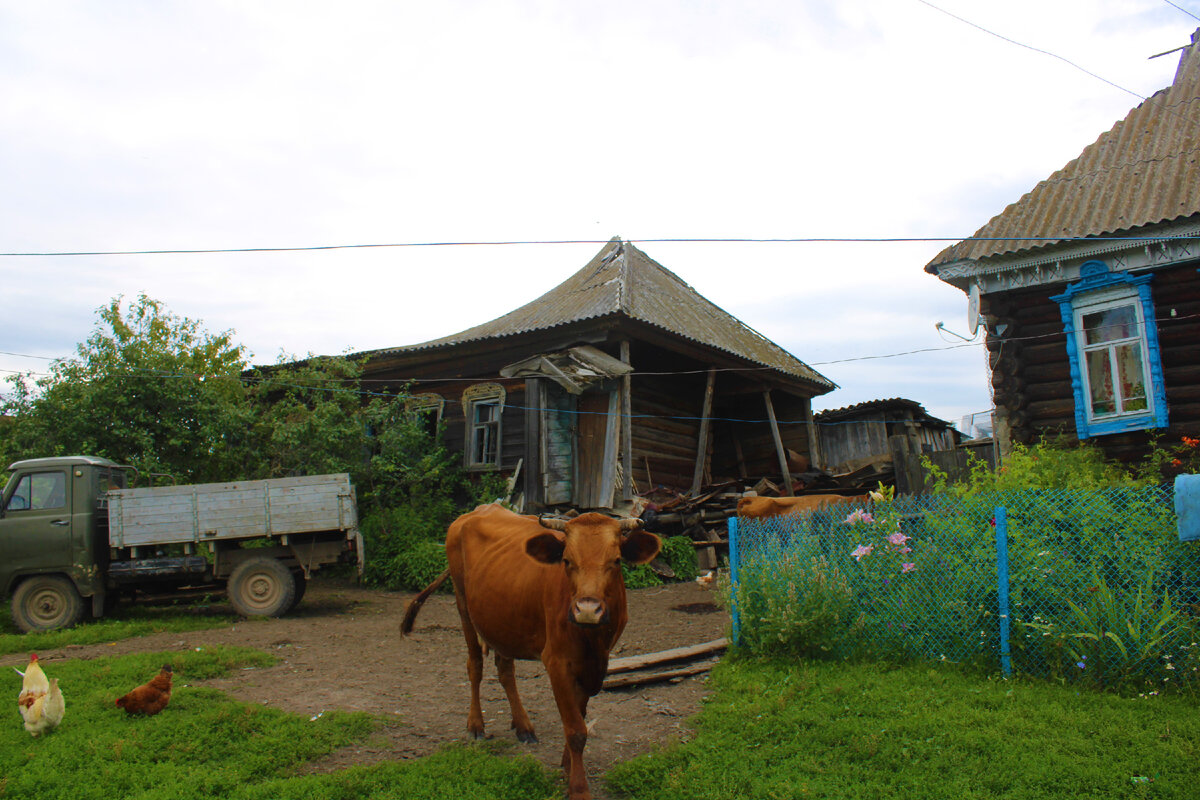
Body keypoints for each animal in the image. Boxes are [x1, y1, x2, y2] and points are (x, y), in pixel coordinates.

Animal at [405, 503, 667, 796]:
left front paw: (567, 765)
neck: (592, 639)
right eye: (567, 561)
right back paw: (476, 724)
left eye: (617, 561)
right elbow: (576, 730)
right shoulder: (557, 661)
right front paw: (578, 787)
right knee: (475, 665)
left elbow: (579, 716)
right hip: (464, 606)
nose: (588, 610)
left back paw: (523, 726)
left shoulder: (596, 663)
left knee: (505, 670)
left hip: (502, 619)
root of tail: (481, 508)